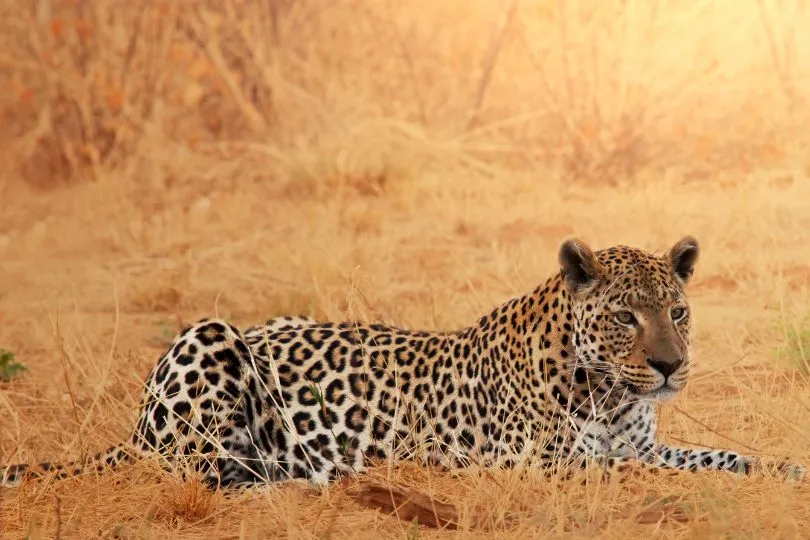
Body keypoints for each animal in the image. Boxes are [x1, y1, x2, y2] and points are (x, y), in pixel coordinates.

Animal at [0, 236, 800, 490]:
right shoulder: (539, 466)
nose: (669, 366)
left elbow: (716, 457)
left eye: (677, 312)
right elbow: (632, 472)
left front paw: (786, 469)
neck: (610, 395)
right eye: (624, 316)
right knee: (204, 473)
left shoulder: (643, 442)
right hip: (210, 335)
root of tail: (134, 426)